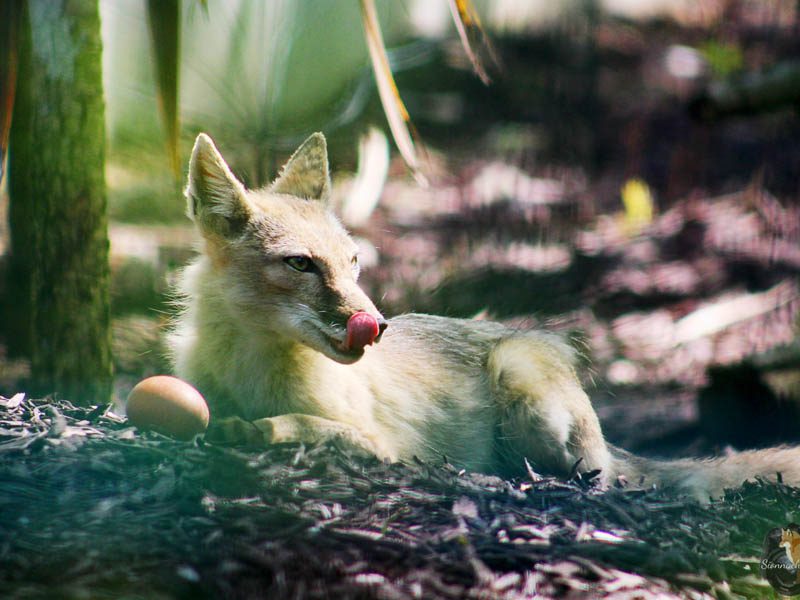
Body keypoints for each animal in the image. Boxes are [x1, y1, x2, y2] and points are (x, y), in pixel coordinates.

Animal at [167, 132, 800, 502]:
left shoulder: (385, 446)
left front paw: (253, 430)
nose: (377, 325)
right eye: (300, 264)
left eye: (353, 263)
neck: (254, 373)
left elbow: (302, 425)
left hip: (527, 395)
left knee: (593, 478)